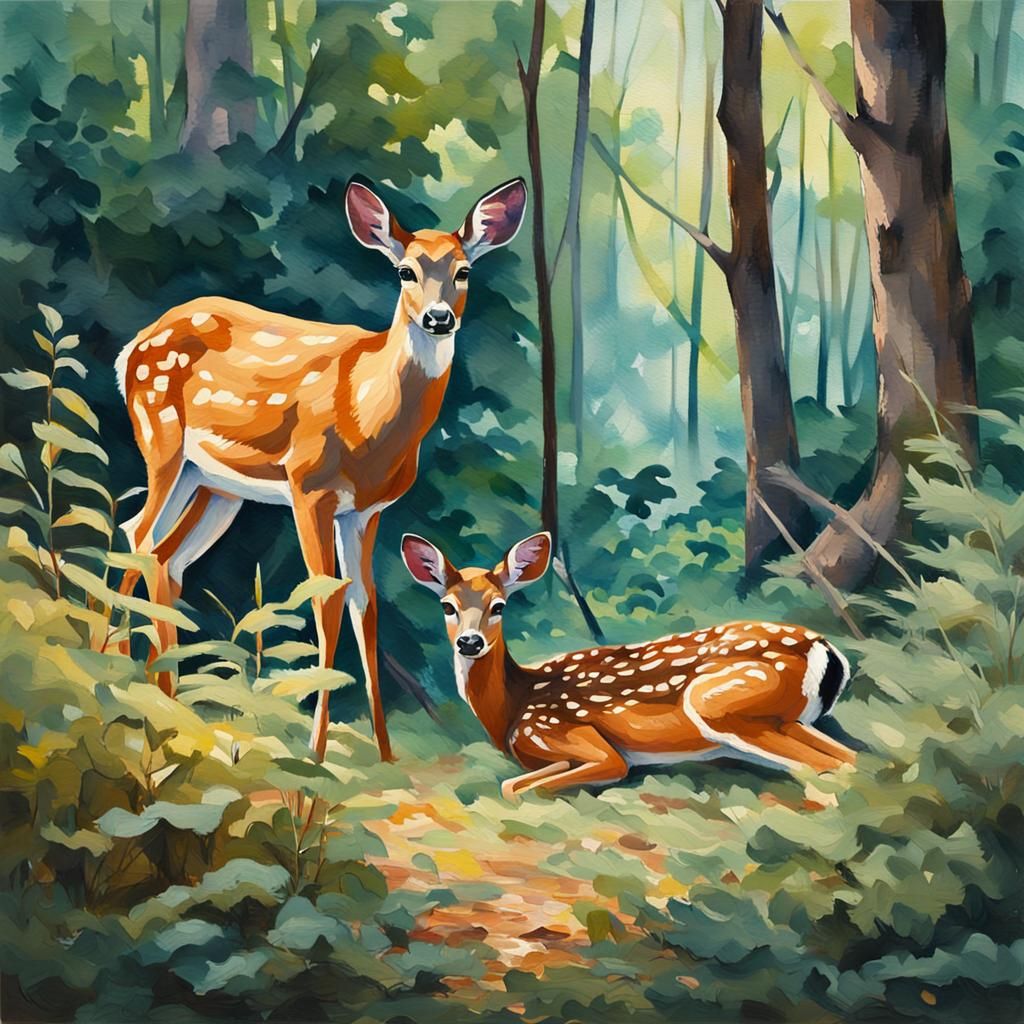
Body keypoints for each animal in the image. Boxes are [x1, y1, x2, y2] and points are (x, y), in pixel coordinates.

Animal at [113, 177, 528, 763]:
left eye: (464, 270)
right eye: (405, 271)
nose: (438, 318)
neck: (369, 410)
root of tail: (131, 347)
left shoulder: (367, 509)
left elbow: (365, 608)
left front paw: (384, 753)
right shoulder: (309, 486)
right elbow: (324, 600)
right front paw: (316, 749)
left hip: (215, 484)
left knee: (163, 554)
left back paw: (161, 693)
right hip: (161, 437)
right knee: (139, 534)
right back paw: (118, 671)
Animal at [400, 531, 857, 798]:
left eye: (499, 606)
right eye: (447, 606)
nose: (469, 642)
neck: (513, 706)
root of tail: (824, 649)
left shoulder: (569, 733)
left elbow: (517, 786)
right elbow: (516, 781)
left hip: (719, 703)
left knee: (827, 768)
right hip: (787, 719)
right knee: (850, 759)